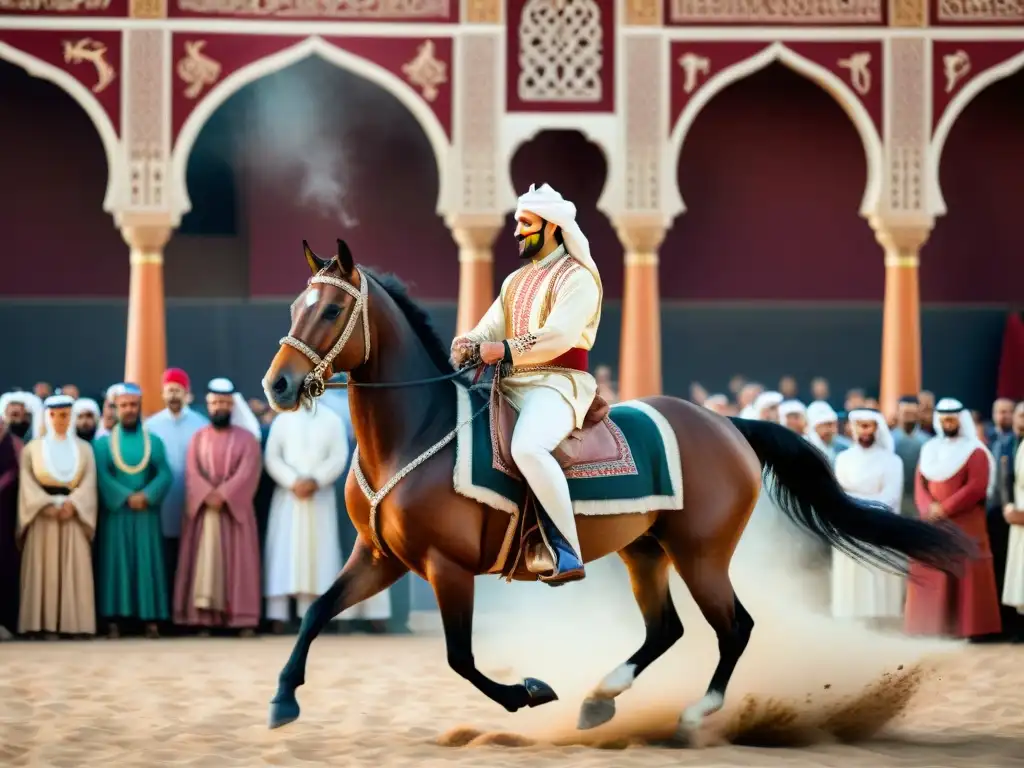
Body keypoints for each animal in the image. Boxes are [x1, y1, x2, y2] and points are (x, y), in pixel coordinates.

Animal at [260, 241, 970, 745]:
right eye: (293, 308)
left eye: (330, 310)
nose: (278, 387)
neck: (421, 431)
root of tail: (727, 424)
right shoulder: (380, 557)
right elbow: (317, 612)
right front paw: (284, 697)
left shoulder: (447, 567)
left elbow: (461, 657)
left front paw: (529, 691)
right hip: (645, 551)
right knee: (667, 629)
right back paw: (600, 699)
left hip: (701, 555)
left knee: (734, 627)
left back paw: (693, 714)